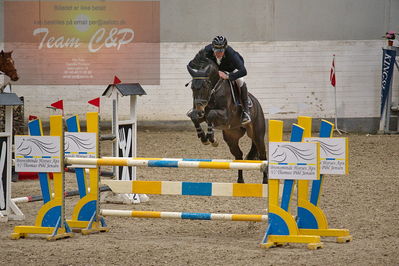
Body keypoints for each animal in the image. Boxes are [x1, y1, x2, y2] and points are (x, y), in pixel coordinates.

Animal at [188, 50, 268, 184]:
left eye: (206, 85)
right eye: (192, 87)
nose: (199, 110)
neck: (214, 91)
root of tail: (257, 103)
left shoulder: (225, 116)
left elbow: (211, 115)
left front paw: (212, 138)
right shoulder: (203, 114)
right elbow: (195, 117)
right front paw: (204, 137)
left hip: (258, 135)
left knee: (263, 155)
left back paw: (266, 181)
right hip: (232, 136)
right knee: (239, 156)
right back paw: (240, 180)